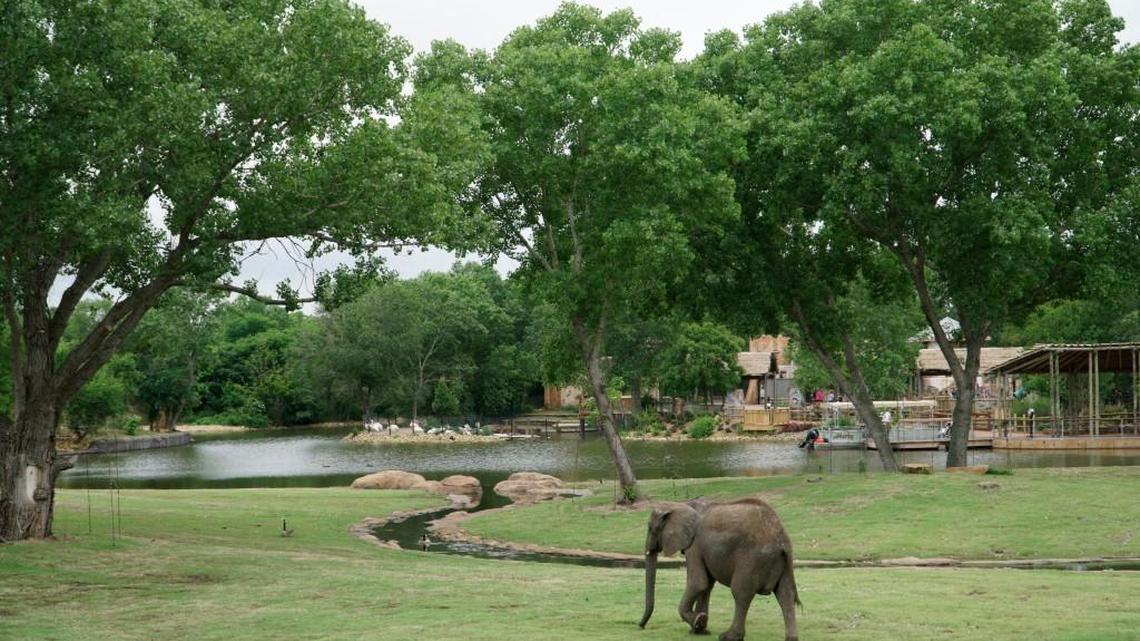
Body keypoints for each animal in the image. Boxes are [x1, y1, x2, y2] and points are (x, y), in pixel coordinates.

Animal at [638, 497, 800, 641]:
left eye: (650, 528)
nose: (641, 626)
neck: (682, 503)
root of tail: (781, 538)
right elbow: (706, 586)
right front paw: (699, 629)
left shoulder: (695, 545)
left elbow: (698, 583)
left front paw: (699, 621)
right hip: (784, 561)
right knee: (785, 594)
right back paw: (791, 638)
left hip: (752, 558)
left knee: (741, 593)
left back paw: (729, 637)